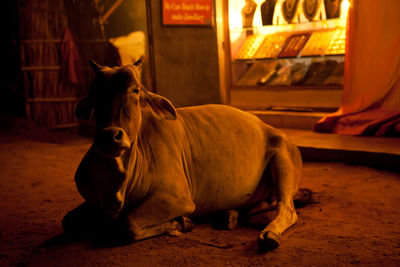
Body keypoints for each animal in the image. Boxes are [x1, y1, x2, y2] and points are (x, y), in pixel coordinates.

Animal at [63, 59, 304, 252]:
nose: (109, 136)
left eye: (135, 90)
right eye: (94, 93)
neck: (118, 184)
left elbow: (128, 224)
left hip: (283, 162)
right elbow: (67, 222)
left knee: (286, 208)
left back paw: (269, 234)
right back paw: (228, 215)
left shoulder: (177, 198)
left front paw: (181, 223)